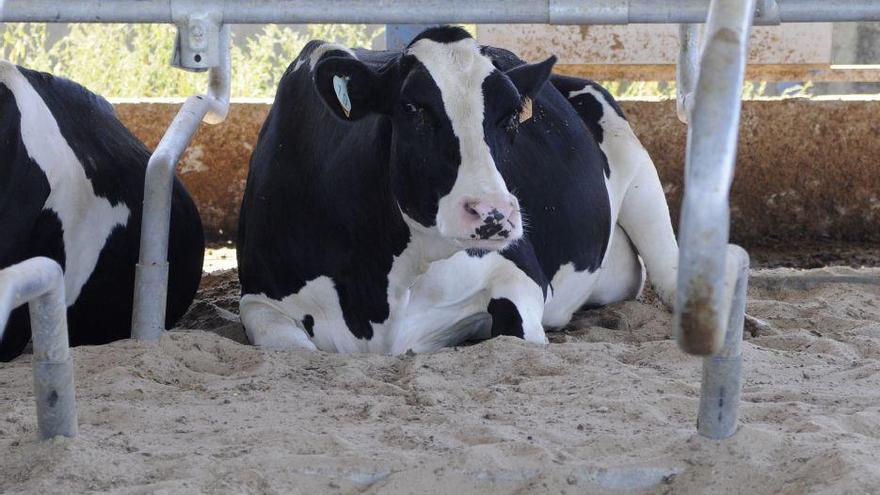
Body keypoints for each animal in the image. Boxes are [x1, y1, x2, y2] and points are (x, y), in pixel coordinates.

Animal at [235, 26, 680, 352]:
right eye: (413, 108)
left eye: (511, 116)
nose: (492, 213)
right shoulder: (259, 300)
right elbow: (291, 346)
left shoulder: (521, 273)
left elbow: (516, 333)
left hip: (639, 173)